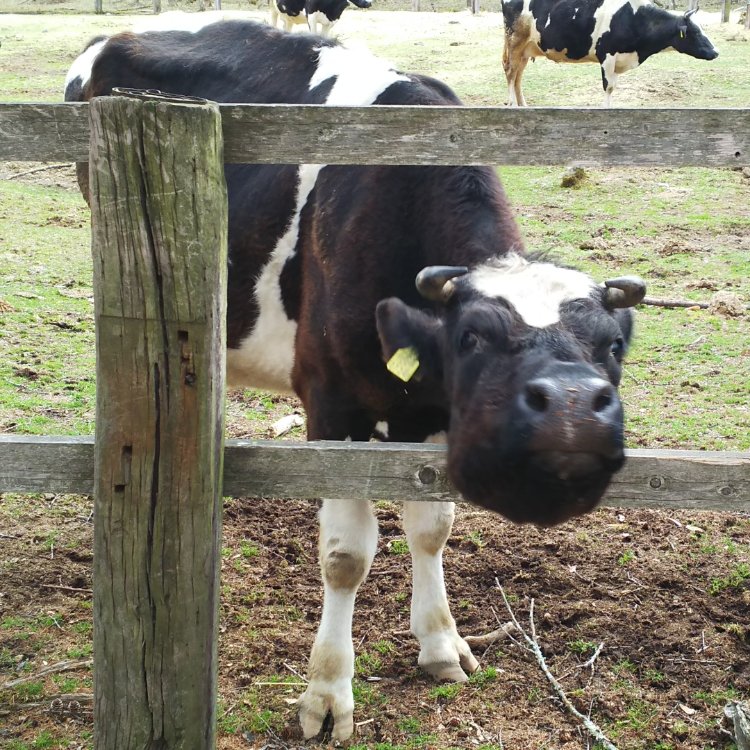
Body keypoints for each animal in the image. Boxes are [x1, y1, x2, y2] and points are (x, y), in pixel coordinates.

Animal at [66, 20, 648, 744]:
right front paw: (327, 694)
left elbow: (431, 526)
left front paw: (440, 643)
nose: (570, 414)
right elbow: (346, 557)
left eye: (613, 346)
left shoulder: (432, 412)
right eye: (471, 338)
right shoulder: (333, 404)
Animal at [502, 0, 720, 106]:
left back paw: (523, 105)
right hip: (514, 41)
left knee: (518, 76)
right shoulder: (607, 55)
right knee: (511, 73)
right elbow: (609, 87)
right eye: (695, 32)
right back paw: (512, 104)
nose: (716, 52)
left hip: (526, 48)